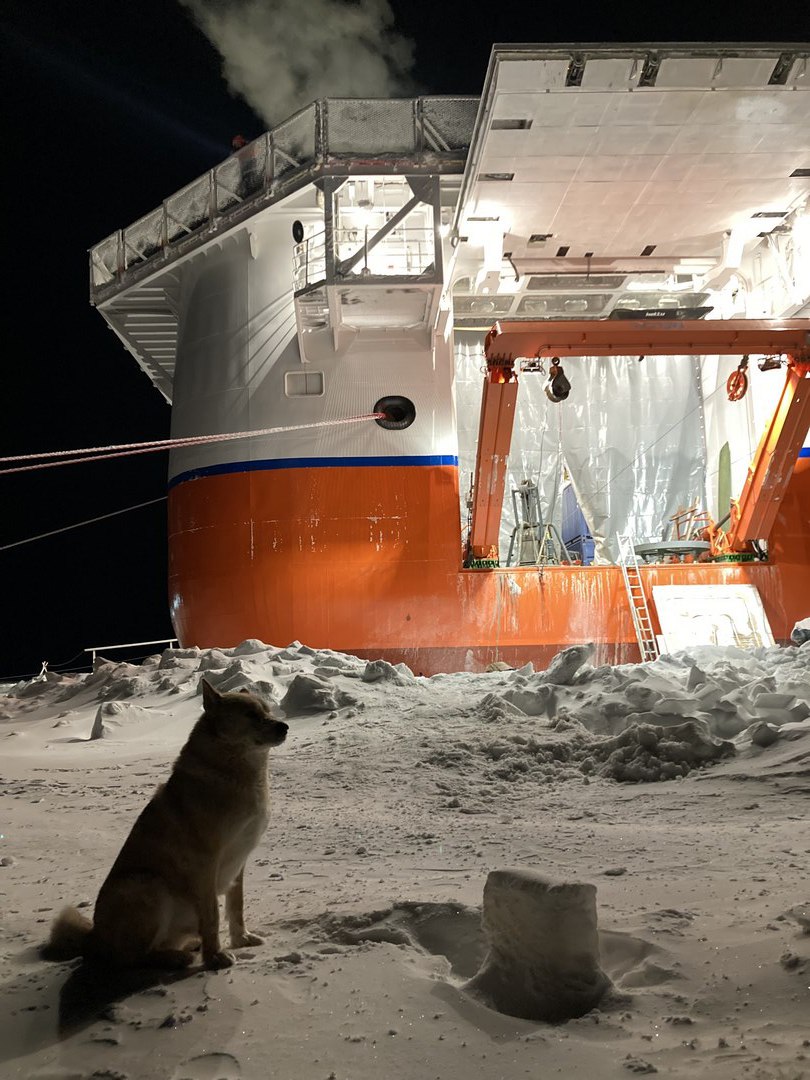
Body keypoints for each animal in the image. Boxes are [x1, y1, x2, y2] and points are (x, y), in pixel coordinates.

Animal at [45, 682, 289, 972]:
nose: (284, 726)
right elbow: (212, 916)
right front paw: (214, 957)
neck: (234, 771)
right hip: (147, 884)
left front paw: (241, 940)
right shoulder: (205, 864)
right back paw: (176, 958)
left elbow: (235, 906)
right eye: (251, 715)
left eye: (268, 711)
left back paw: (186, 947)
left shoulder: (238, 861)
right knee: (133, 958)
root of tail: (94, 938)